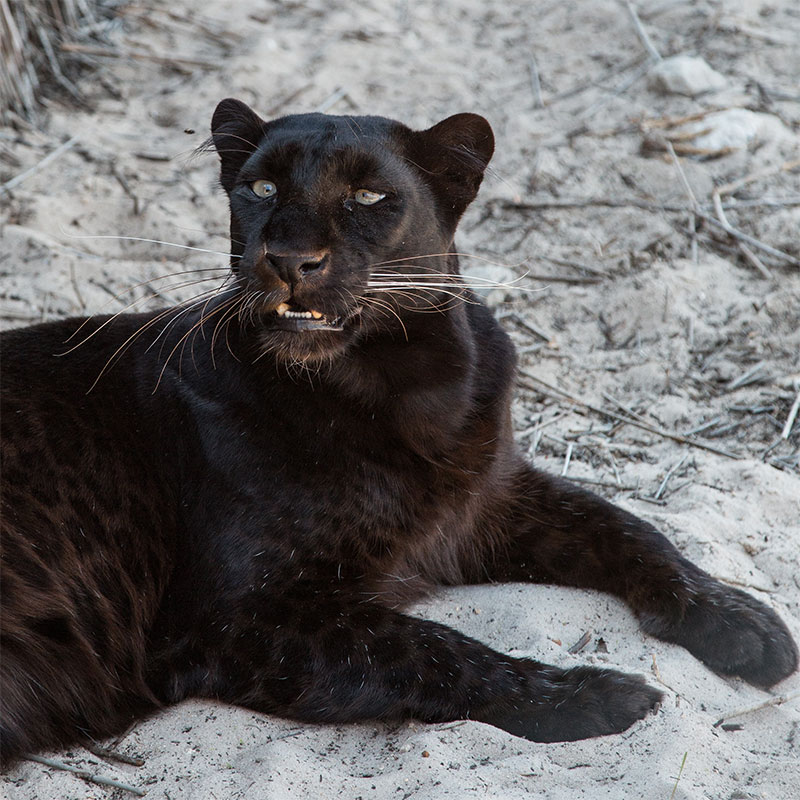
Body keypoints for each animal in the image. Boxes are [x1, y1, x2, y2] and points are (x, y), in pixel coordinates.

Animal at [1, 98, 797, 765]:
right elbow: (429, 648)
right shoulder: (233, 616)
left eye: (367, 197)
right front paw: (595, 695)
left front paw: (749, 626)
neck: (406, 386)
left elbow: (627, 527)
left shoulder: (490, 500)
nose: (288, 258)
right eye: (262, 190)